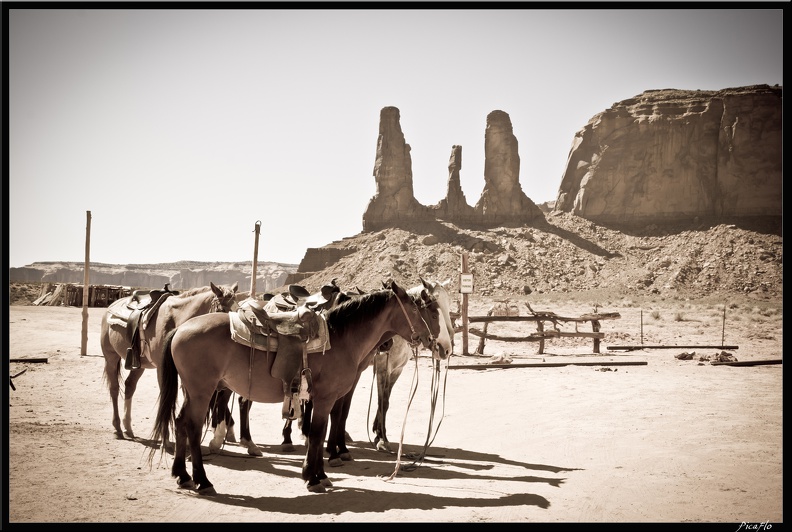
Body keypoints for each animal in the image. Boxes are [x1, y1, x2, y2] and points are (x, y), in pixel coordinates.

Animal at [98, 280, 237, 438]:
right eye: (222, 308)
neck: (176, 319)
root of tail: (110, 307)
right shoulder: (162, 367)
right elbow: (167, 396)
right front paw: (166, 438)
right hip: (110, 357)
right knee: (114, 388)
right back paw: (117, 427)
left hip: (139, 364)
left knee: (129, 386)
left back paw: (128, 427)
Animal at [150, 278, 440, 494]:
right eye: (417, 309)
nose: (430, 338)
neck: (341, 338)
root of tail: (180, 329)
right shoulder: (325, 398)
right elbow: (317, 433)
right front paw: (314, 477)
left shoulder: (323, 397)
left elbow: (320, 432)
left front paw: (318, 473)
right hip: (202, 391)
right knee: (193, 426)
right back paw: (202, 480)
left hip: (193, 391)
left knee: (180, 421)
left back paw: (182, 475)